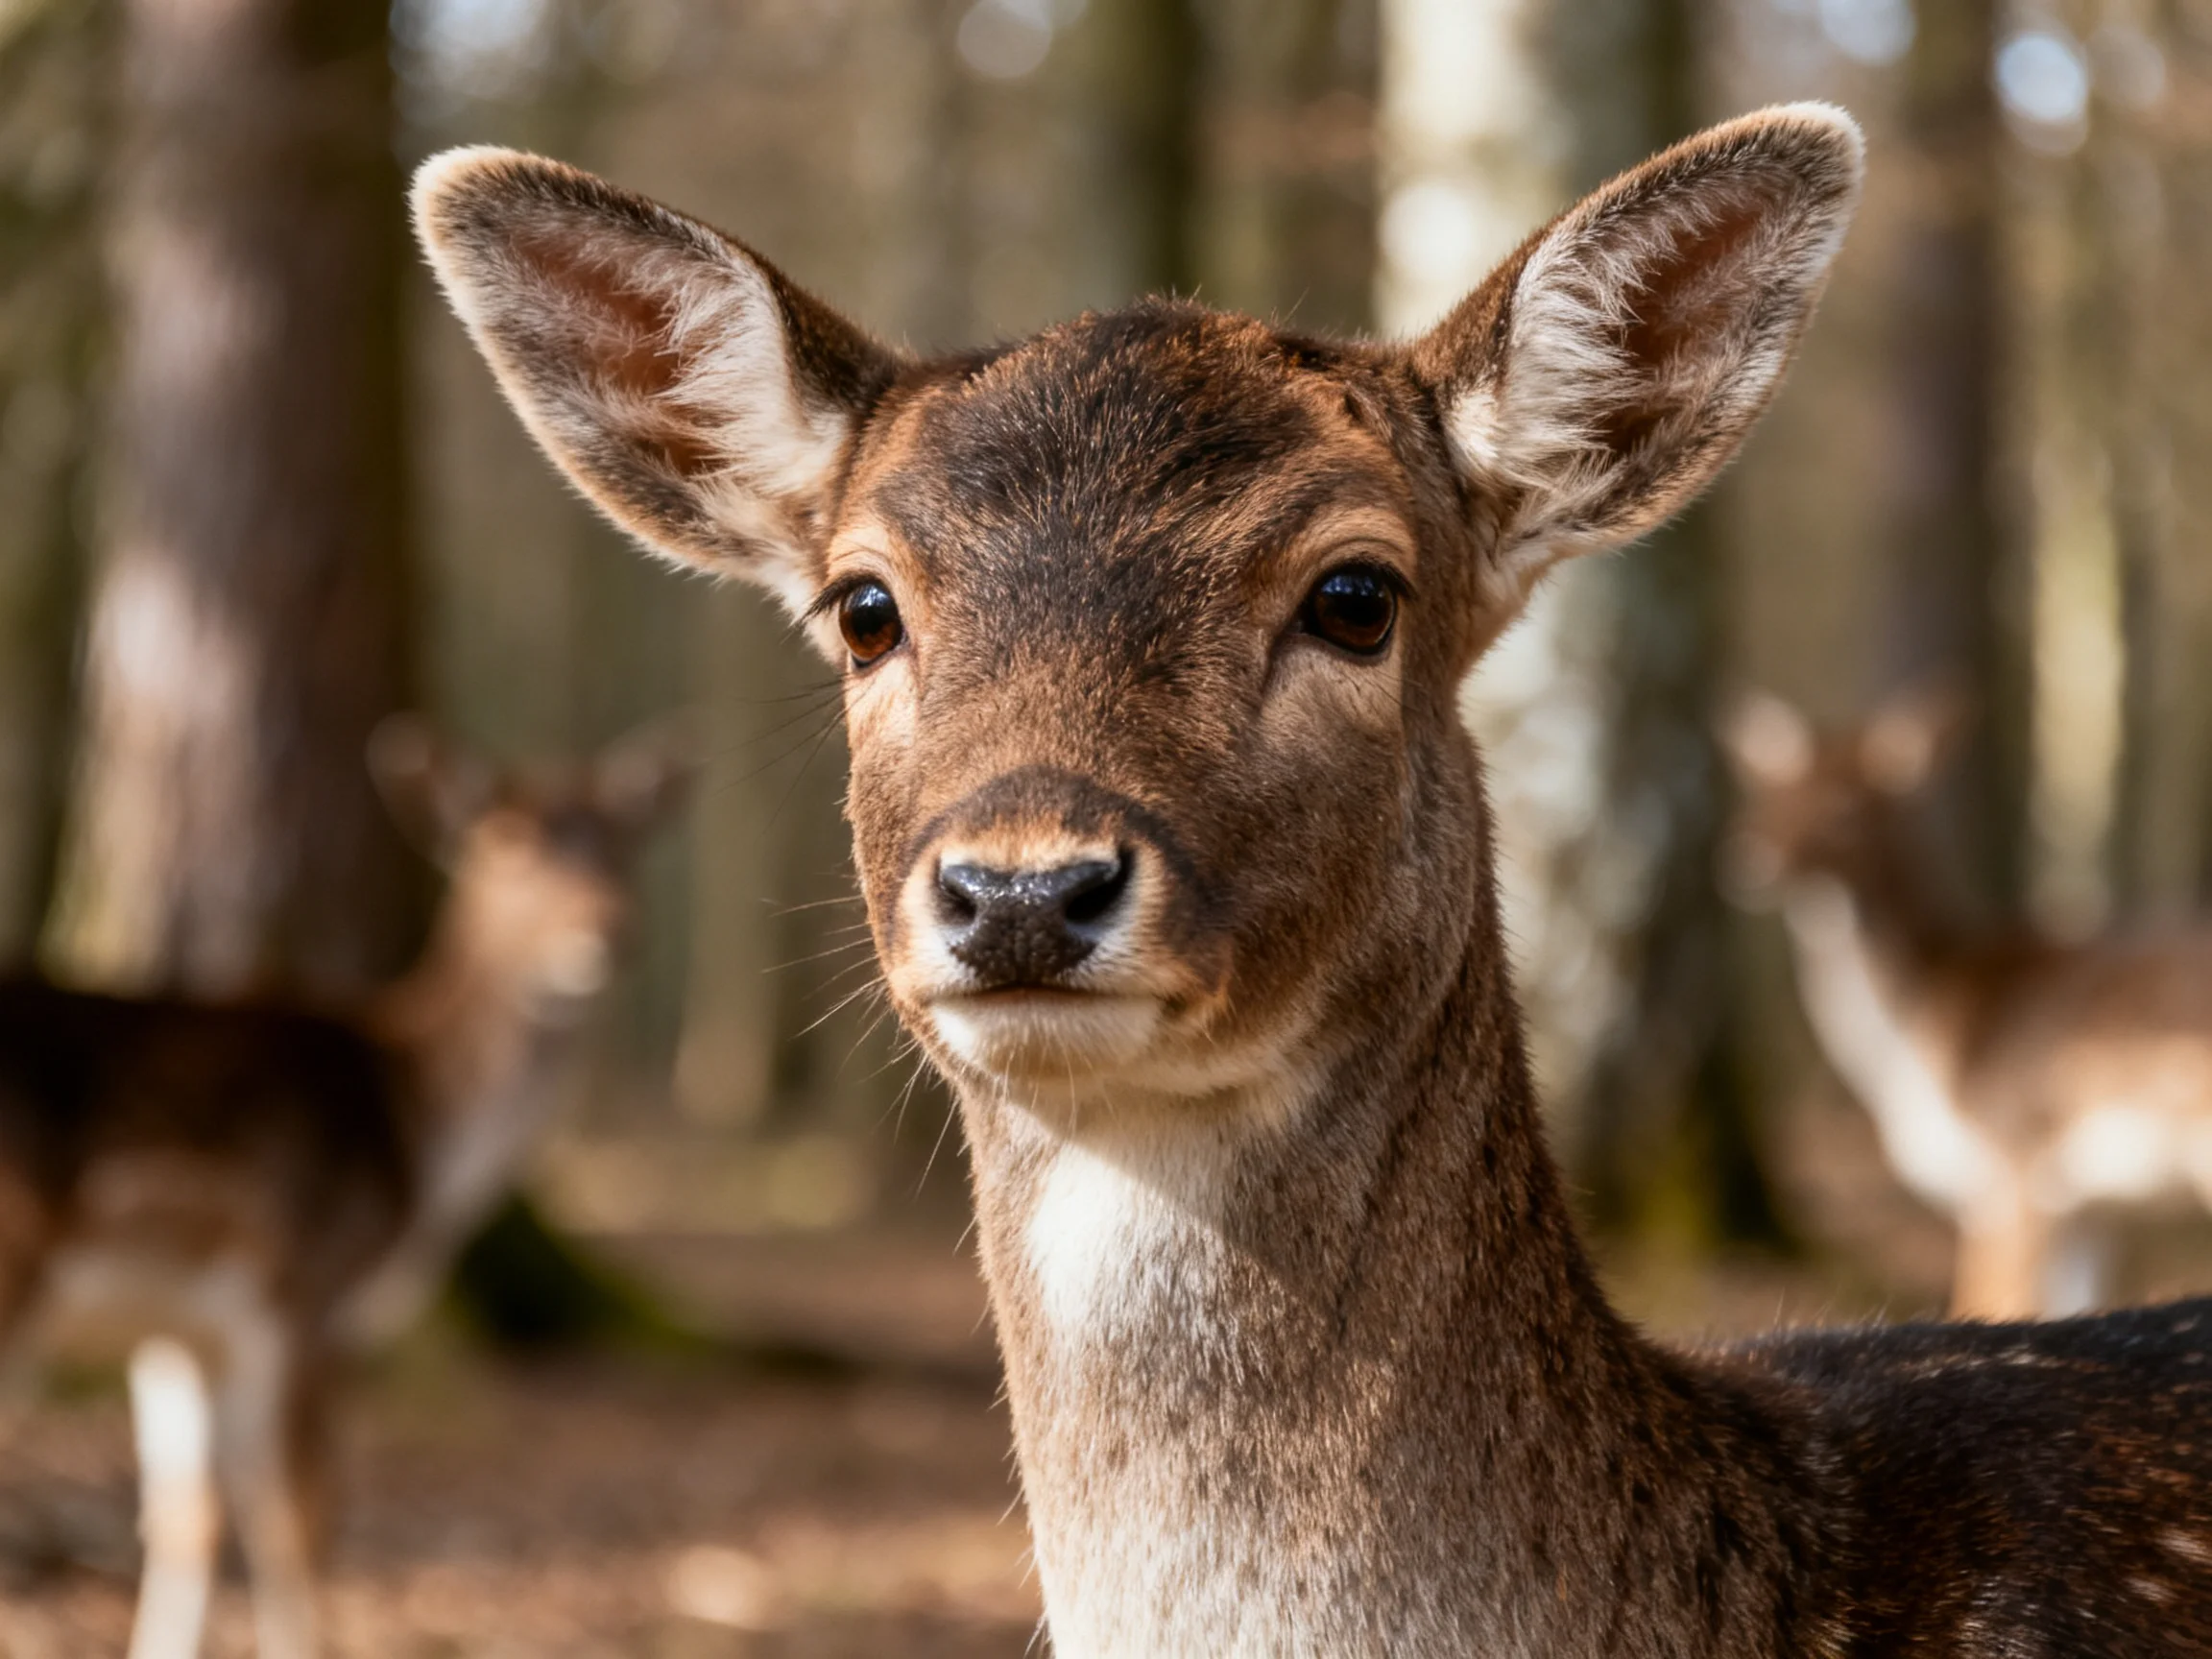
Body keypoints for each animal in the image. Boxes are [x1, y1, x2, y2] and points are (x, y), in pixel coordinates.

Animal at [0, 717, 690, 1659]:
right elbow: (301, 1519)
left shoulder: (180, 1326)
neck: (420, 1122)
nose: (606, 932)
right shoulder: (307, 1290)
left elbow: (187, 1516)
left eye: (624, 843)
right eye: (505, 841)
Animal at [1722, 683, 2212, 1322]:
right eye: (1769, 795)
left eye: (1844, 807)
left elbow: (1987, 1303)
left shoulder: (2010, 1169)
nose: (1747, 853)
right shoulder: (2088, 1210)